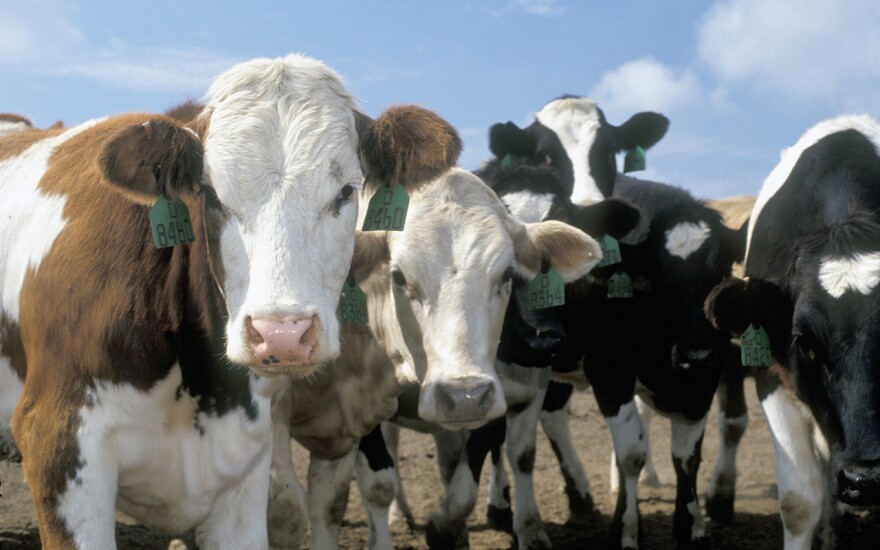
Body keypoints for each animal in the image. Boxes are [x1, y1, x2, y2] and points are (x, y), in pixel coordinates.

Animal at [264, 168, 600, 550]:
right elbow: (365, 488)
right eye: (398, 276)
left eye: (506, 274)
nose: (464, 395)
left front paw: (452, 529)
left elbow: (482, 472)